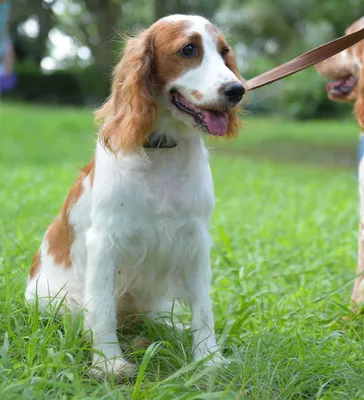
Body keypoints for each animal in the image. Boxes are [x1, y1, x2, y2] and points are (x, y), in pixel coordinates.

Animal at [25, 15, 246, 378]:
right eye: (188, 49)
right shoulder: (105, 243)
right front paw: (109, 363)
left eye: (225, 52)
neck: (162, 151)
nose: (237, 90)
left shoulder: (195, 241)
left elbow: (203, 308)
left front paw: (208, 359)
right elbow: (102, 310)